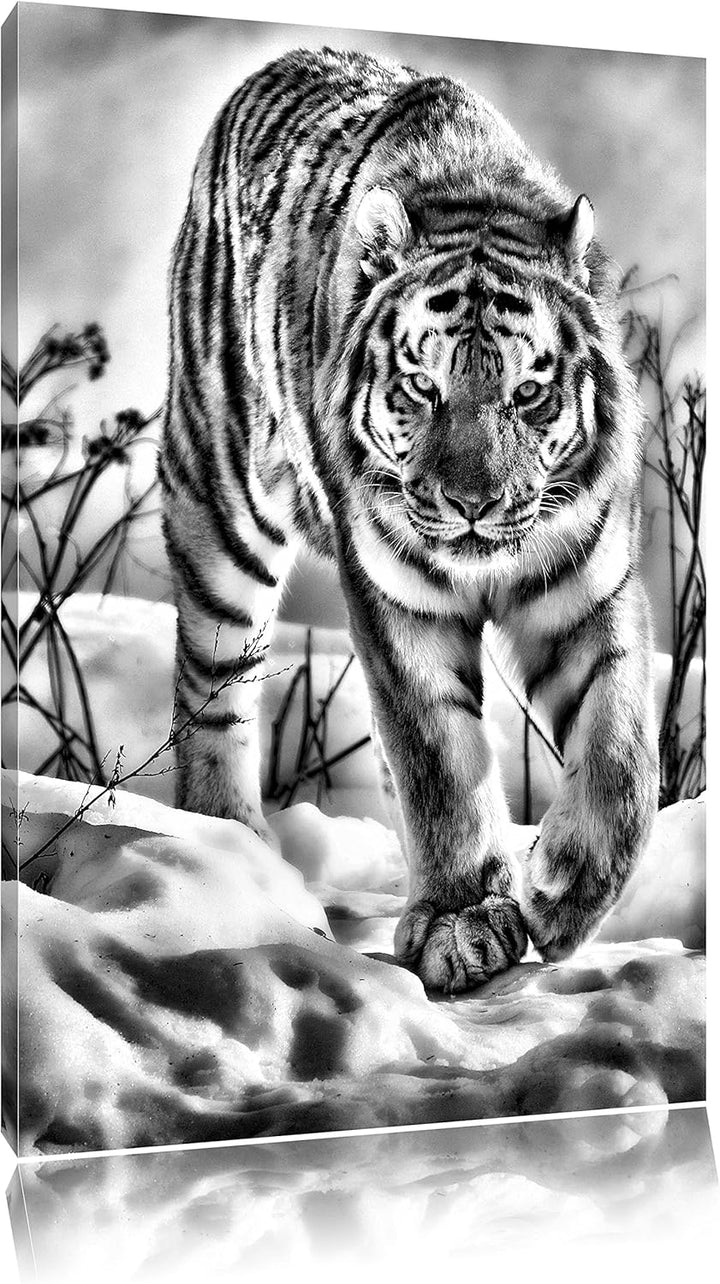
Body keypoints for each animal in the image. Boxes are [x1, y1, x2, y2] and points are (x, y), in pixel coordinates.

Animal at [159, 46, 659, 994]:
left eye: (528, 392)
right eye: (422, 387)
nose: (471, 505)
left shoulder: (585, 586)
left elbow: (621, 749)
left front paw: (564, 888)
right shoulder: (398, 602)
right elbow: (439, 758)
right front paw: (463, 921)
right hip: (219, 508)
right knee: (213, 701)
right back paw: (235, 860)